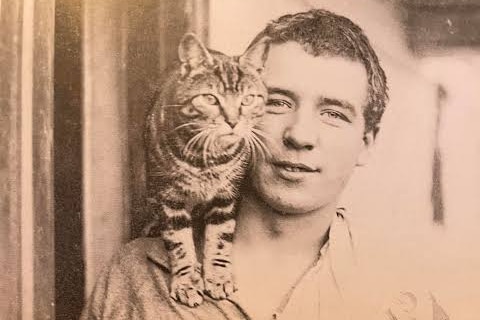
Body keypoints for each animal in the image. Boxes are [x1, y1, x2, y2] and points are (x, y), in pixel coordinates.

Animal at [144, 33, 270, 308]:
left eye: (248, 100)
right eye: (211, 99)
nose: (233, 121)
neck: (208, 159)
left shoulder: (226, 197)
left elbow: (220, 239)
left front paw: (218, 277)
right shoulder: (170, 198)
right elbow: (179, 242)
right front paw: (186, 282)